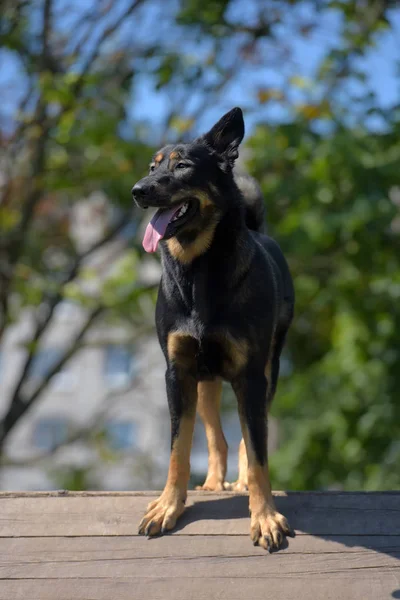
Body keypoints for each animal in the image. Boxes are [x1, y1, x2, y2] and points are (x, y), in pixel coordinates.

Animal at [133, 109, 296, 552]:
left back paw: (238, 484)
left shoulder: (251, 377)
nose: (138, 191)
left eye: (182, 166)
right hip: (204, 380)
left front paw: (265, 516)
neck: (198, 271)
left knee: (245, 437)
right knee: (214, 436)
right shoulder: (178, 373)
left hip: (267, 371)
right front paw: (168, 506)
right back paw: (212, 482)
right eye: (153, 166)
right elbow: (179, 447)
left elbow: (257, 455)